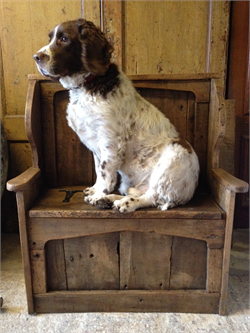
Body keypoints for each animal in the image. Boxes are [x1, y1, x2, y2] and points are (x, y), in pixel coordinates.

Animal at [34, 18, 200, 213]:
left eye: (64, 39)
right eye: (51, 38)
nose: (36, 57)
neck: (89, 86)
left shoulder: (110, 141)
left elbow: (105, 172)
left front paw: (99, 194)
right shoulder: (96, 144)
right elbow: (99, 171)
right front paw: (96, 191)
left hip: (172, 160)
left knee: (151, 197)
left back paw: (123, 203)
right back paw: (109, 199)